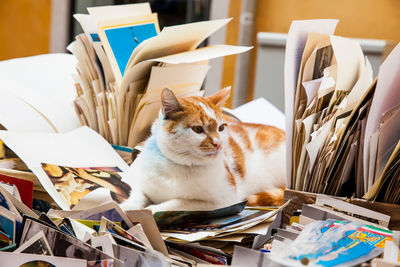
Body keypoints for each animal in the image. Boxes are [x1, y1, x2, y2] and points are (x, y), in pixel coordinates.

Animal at [120, 88, 286, 214]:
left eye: (221, 128)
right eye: (198, 129)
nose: (218, 143)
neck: (177, 166)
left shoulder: (223, 201)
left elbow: (177, 202)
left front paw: (150, 210)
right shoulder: (137, 181)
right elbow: (137, 194)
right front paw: (127, 207)